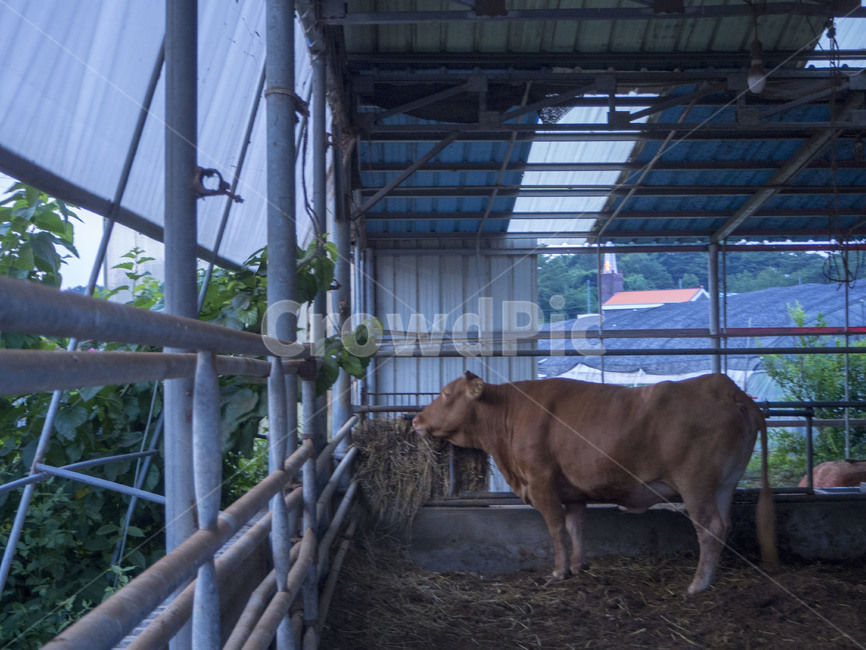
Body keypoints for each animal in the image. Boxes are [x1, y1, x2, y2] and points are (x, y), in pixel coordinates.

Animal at [412, 371, 777, 595]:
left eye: (446, 393)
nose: (416, 419)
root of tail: (725, 386)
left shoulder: (542, 483)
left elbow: (557, 530)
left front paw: (558, 572)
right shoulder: (573, 491)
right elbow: (576, 528)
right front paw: (578, 566)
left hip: (696, 485)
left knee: (709, 528)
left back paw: (698, 584)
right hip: (724, 485)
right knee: (724, 525)